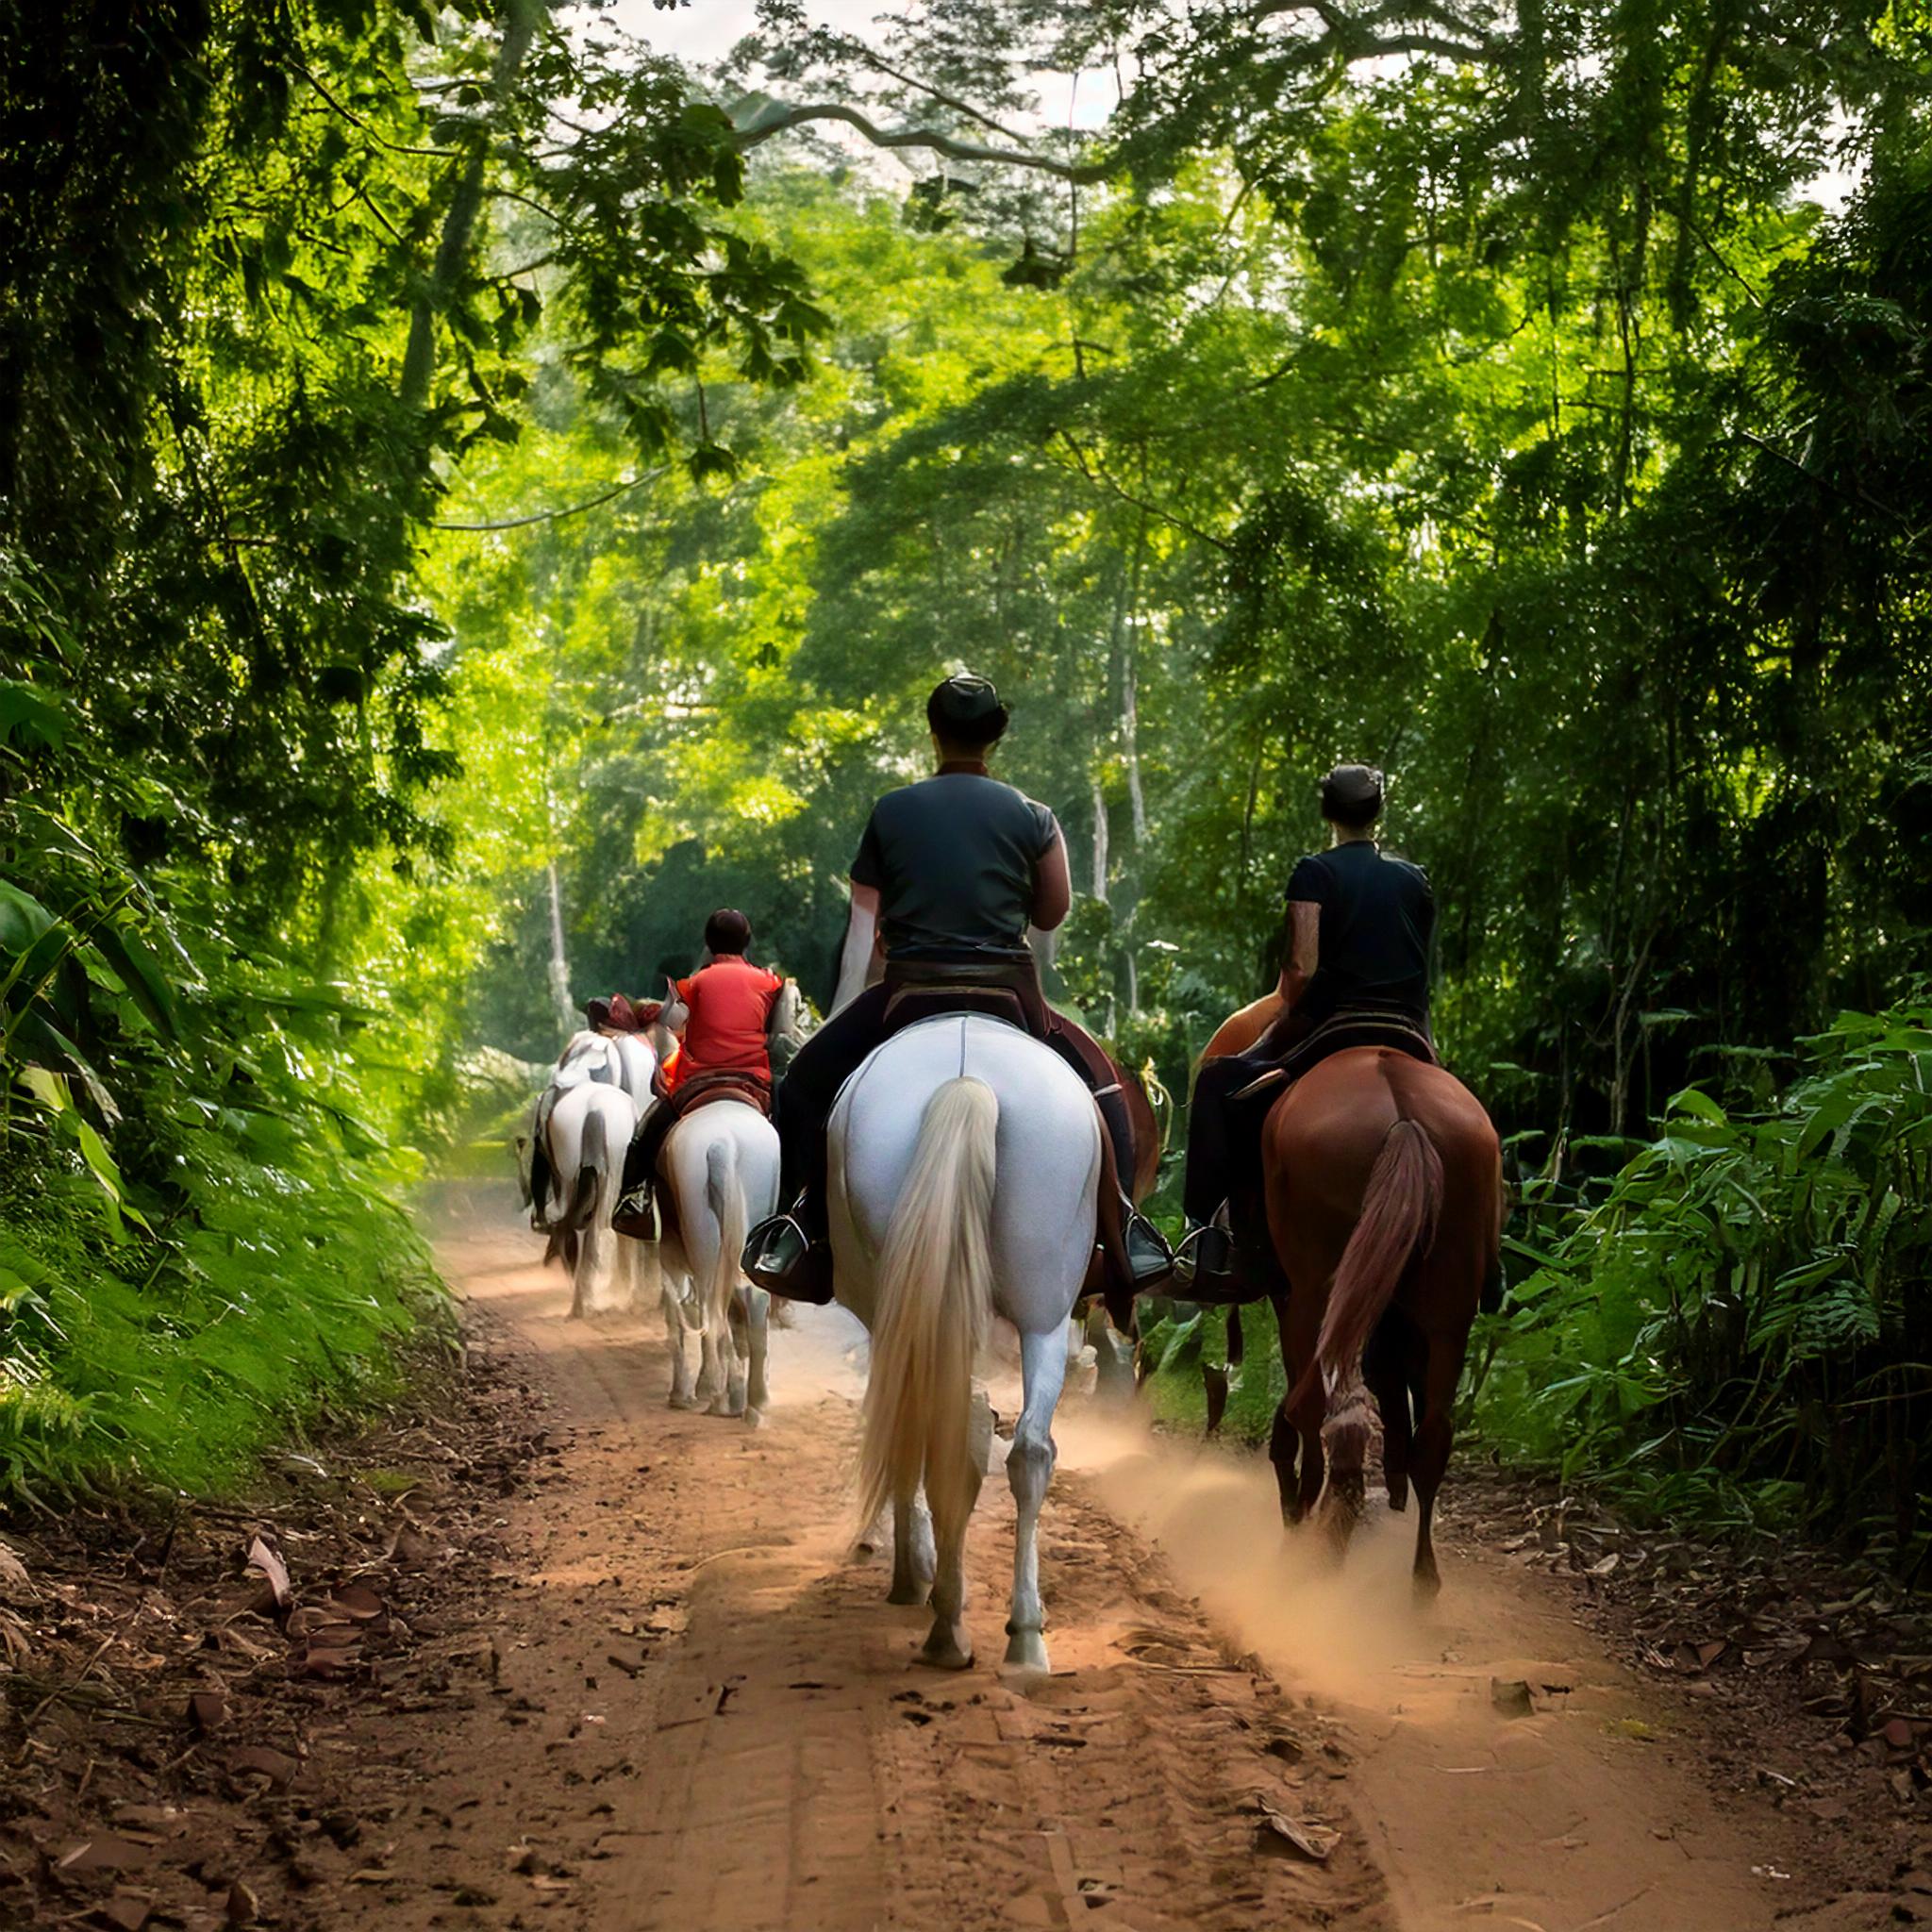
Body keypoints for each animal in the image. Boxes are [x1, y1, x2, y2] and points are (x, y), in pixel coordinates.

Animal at [657, 1105, 776, 1422]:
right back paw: (754, 1399)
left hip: (701, 1235)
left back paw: (718, 1392)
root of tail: (723, 1142)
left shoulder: (669, 1260)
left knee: (712, 1311)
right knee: (751, 1299)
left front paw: (680, 1393)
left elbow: (677, 1320)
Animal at [830, 1012, 1105, 1676]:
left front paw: (912, 1573)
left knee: (950, 1431)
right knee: (1024, 1448)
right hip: (1045, 1307)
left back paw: (948, 1621)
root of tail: (966, 1076)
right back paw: (1018, 1633)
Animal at [1197, 989, 1499, 1591]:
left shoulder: (1291, 1296)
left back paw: (1309, 1542)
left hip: (1317, 1294)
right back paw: (1420, 1583)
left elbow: (1301, 1404)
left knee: (1316, 1410)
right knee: (1433, 1435)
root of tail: (1403, 1117)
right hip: (1449, 1308)